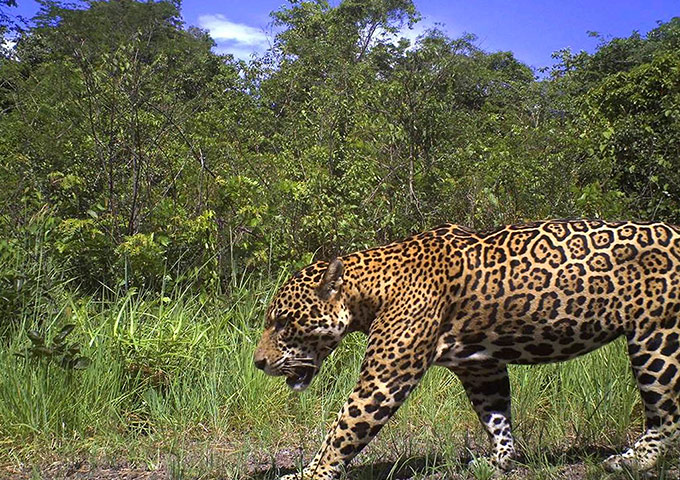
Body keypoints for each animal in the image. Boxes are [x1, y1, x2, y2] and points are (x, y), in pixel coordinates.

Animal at [254, 219, 680, 479]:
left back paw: (634, 460)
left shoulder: (384, 379)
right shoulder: (480, 366)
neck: (371, 290)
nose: (258, 363)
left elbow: (342, 431)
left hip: (655, 337)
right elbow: (496, 415)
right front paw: (500, 460)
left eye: (282, 322)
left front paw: (309, 473)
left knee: (666, 414)